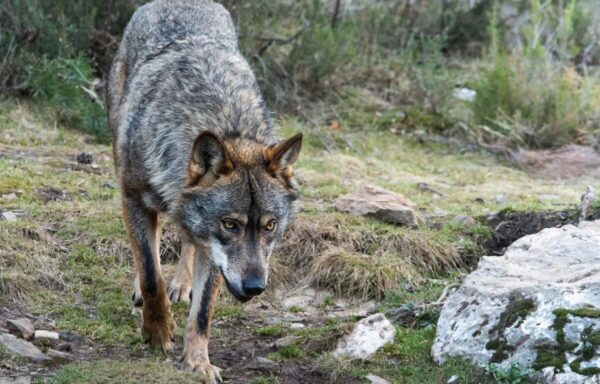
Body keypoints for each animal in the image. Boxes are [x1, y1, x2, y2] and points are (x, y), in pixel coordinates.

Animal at [106, 0, 302, 380]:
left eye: (270, 226)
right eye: (231, 225)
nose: (255, 287)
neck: (221, 118)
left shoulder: (213, 249)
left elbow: (203, 311)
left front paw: (197, 362)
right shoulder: (132, 195)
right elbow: (150, 273)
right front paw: (157, 333)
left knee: (186, 240)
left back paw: (182, 285)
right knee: (151, 246)